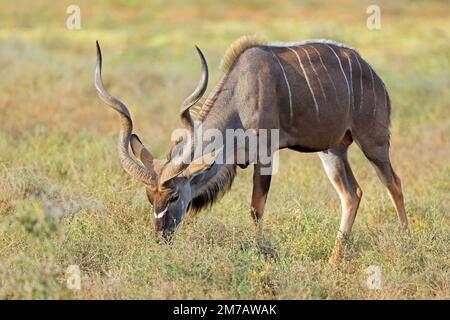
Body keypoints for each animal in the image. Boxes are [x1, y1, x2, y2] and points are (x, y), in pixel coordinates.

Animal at [95, 36, 408, 264]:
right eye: (150, 198)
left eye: (173, 196)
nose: (161, 238)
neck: (241, 96)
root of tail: (373, 75)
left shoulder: (266, 155)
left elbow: (256, 208)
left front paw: (261, 253)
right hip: (332, 151)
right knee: (352, 194)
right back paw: (333, 260)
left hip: (373, 142)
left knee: (393, 183)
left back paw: (407, 240)